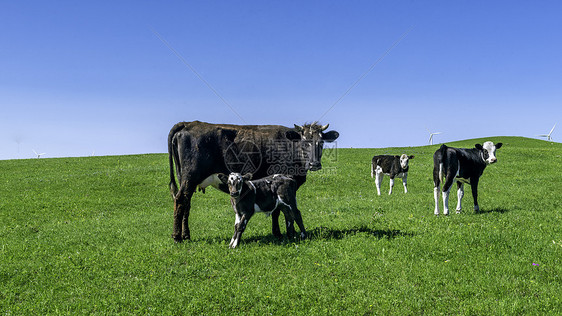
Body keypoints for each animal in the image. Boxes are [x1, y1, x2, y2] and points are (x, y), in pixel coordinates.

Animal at [166, 121, 336, 242]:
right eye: (304, 142)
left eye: (321, 142)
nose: (314, 164)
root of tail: (189, 123)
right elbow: (279, 210)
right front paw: (282, 233)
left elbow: (277, 210)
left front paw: (278, 232)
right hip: (190, 177)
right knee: (180, 200)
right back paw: (177, 236)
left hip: (185, 179)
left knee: (185, 203)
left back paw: (186, 235)